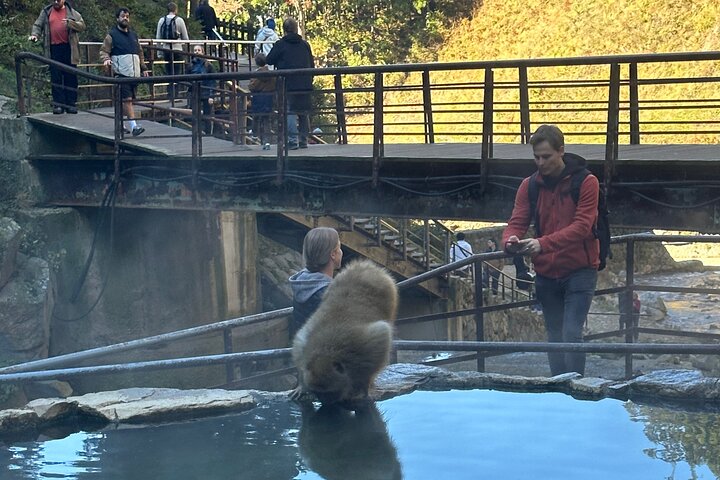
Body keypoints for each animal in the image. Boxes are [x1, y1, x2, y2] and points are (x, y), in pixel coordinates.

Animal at [291, 259, 399, 407]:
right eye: (318, 393)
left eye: (328, 392)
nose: (325, 402)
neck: (327, 351)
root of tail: (364, 266)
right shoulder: (303, 345)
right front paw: (302, 386)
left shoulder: (369, 345)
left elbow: (381, 337)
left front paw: (362, 388)